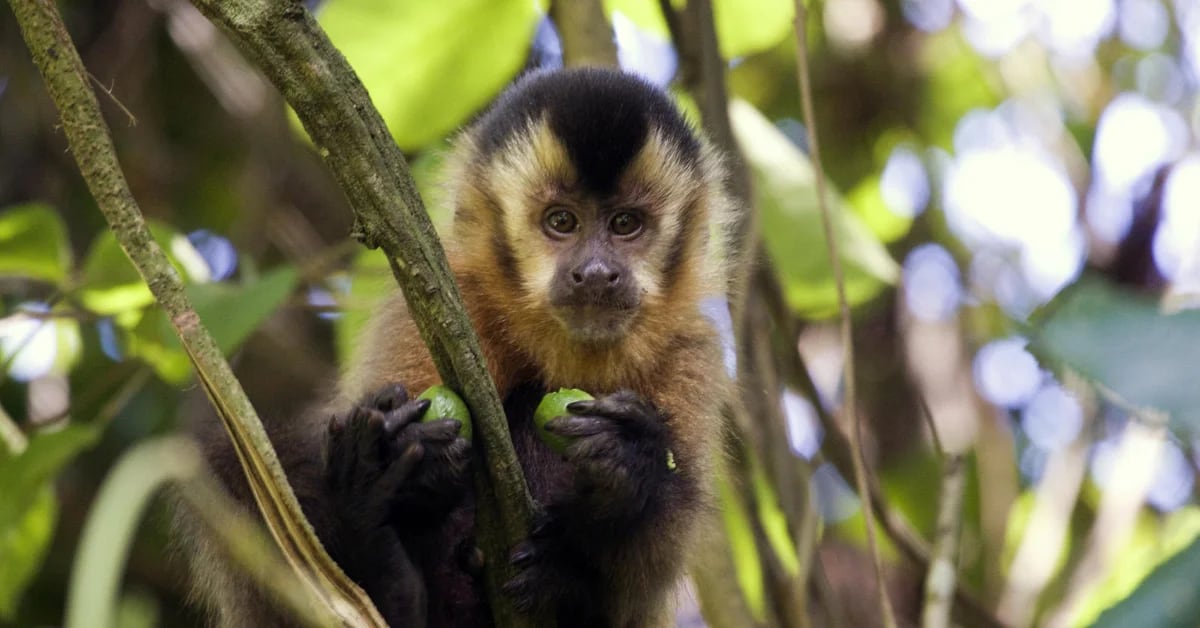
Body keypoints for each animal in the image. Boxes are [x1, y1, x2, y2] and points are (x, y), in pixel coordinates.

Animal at [182, 68, 734, 628]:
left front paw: (629, 454)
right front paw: (393, 456)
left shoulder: (691, 349)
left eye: (625, 224)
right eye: (561, 222)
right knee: (230, 460)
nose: (597, 272)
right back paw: (384, 563)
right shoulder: (451, 301)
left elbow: (669, 525)